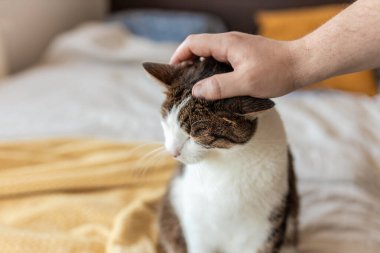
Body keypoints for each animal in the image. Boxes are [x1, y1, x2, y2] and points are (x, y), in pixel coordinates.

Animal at [142, 57, 296, 253]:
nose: (172, 152)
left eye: (196, 134)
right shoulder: (197, 226)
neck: (227, 160)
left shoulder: (264, 229)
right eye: (166, 123)